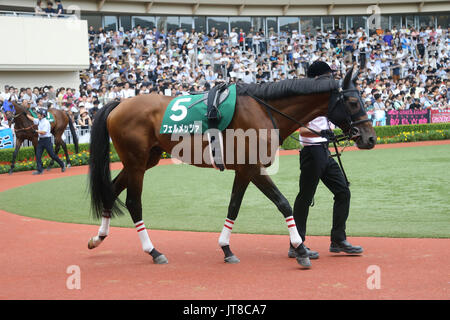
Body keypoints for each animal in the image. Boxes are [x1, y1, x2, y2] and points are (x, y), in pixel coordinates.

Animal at [88, 66, 376, 268]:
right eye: (353, 102)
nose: (370, 137)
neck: (263, 109)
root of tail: (119, 104)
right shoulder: (253, 168)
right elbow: (283, 203)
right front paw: (301, 249)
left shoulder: (243, 170)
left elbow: (234, 206)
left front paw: (226, 248)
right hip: (136, 163)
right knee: (133, 203)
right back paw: (153, 251)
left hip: (146, 160)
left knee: (111, 190)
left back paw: (98, 237)